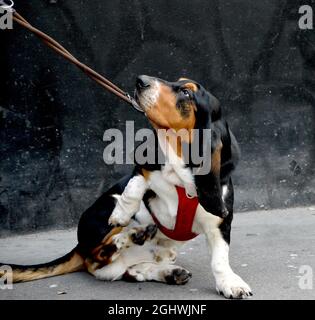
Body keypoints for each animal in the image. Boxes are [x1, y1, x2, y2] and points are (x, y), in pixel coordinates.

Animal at [0, 76, 252, 298]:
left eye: (186, 92)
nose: (141, 80)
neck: (180, 172)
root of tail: (79, 247)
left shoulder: (219, 223)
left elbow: (219, 260)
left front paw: (230, 283)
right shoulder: (143, 170)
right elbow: (136, 183)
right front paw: (123, 212)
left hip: (135, 260)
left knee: (127, 269)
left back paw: (165, 268)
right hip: (100, 216)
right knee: (102, 252)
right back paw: (133, 234)